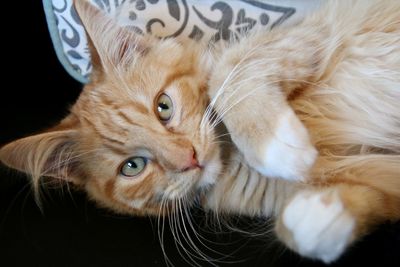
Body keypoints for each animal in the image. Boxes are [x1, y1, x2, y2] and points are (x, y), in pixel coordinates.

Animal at [0, 0, 400, 264]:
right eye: (133, 166)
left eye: (163, 107)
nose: (189, 159)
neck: (233, 158)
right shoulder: (372, 175)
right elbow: (360, 199)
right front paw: (315, 217)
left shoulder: (311, 31)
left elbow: (229, 72)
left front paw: (276, 145)